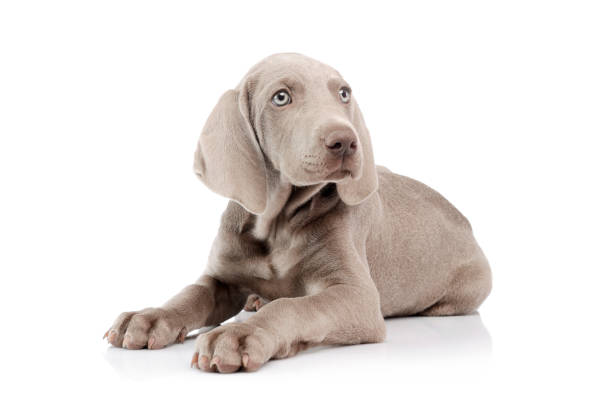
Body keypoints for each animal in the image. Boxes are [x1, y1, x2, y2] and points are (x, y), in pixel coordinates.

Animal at [103, 53, 490, 372]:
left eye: (344, 94)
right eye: (281, 97)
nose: (346, 142)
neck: (277, 224)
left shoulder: (357, 294)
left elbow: (295, 306)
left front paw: (240, 335)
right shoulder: (222, 275)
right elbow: (191, 293)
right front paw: (149, 318)